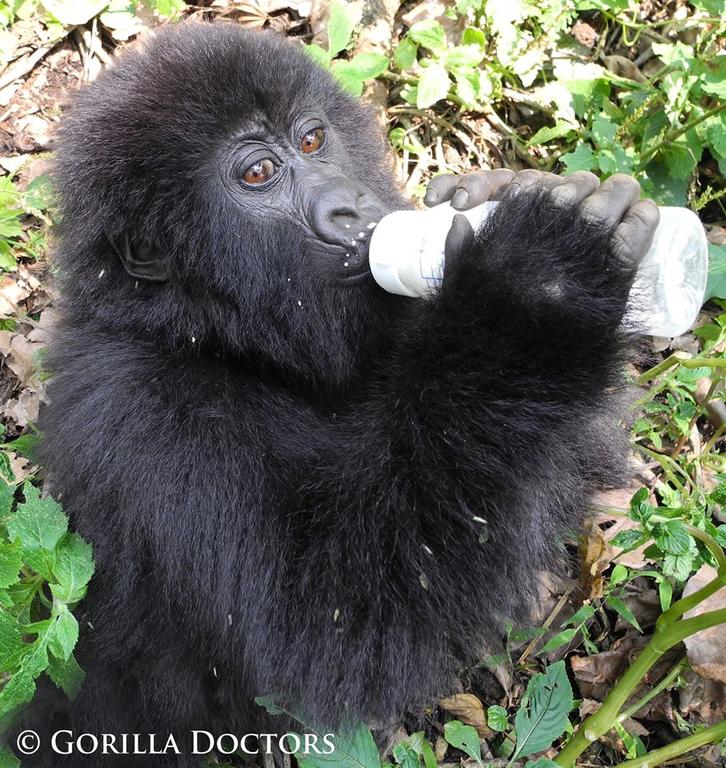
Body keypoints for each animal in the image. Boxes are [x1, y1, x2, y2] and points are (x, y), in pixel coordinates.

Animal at [22, 21, 660, 764]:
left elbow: (576, 456)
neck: (208, 333)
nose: (351, 206)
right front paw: (537, 288)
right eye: (258, 174)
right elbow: (331, 624)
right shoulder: (139, 412)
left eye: (311, 140)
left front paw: (497, 195)